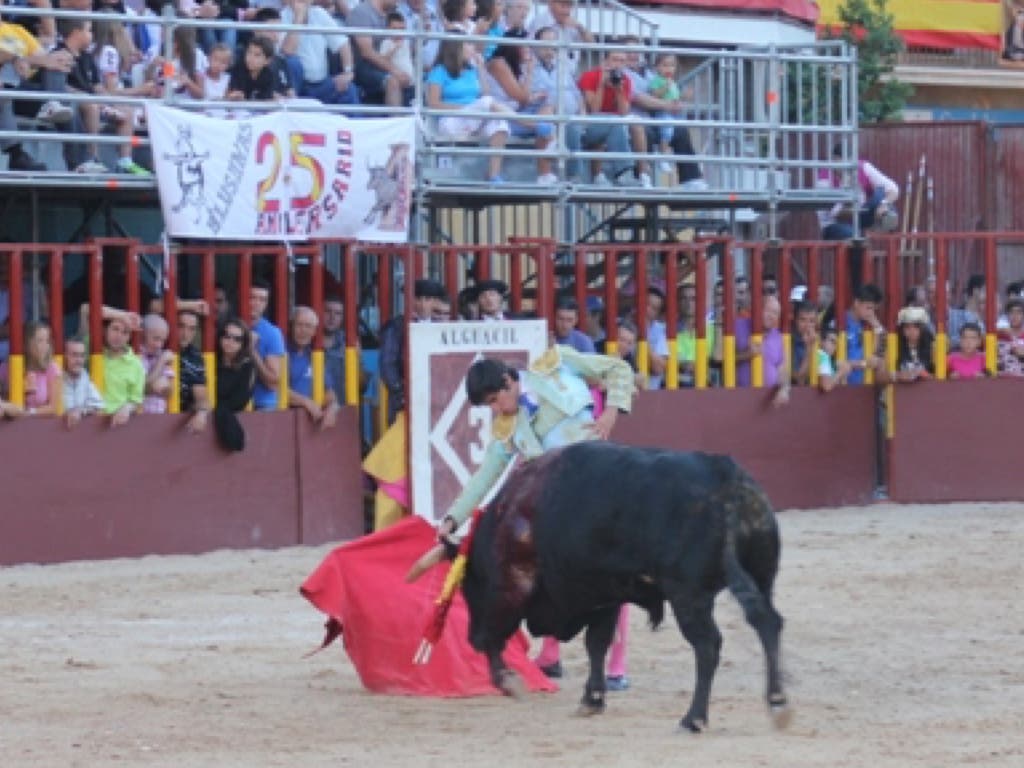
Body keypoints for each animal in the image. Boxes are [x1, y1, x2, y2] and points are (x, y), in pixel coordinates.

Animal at [460, 442, 786, 729]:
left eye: (469, 588)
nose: (470, 639)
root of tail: (727, 478)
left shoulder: (512, 585)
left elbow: (497, 636)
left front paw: (508, 681)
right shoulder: (605, 594)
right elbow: (597, 643)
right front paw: (592, 700)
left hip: (688, 595)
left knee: (708, 645)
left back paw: (693, 719)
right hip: (762, 577)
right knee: (768, 623)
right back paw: (777, 702)